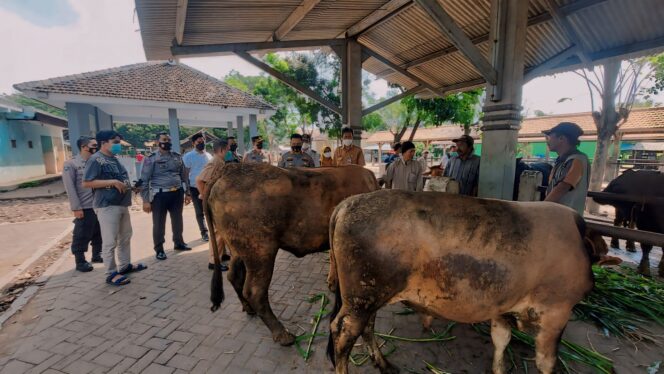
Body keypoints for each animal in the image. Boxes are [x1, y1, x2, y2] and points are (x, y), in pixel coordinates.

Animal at [205, 163, 378, 344]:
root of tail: (228, 171)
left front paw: (332, 282)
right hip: (260, 254)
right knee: (255, 291)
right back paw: (282, 334)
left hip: (238, 251)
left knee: (234, 276)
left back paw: (248, 308)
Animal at [326, 191, 612, 372]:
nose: (592, 283)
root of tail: (347, 204)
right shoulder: (556, 311)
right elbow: (546, 361)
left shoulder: (503, 305)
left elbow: (501, 341)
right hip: (362, 298)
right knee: (343, 333)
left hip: (370, 295)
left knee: (367, 328)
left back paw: (383, 363)